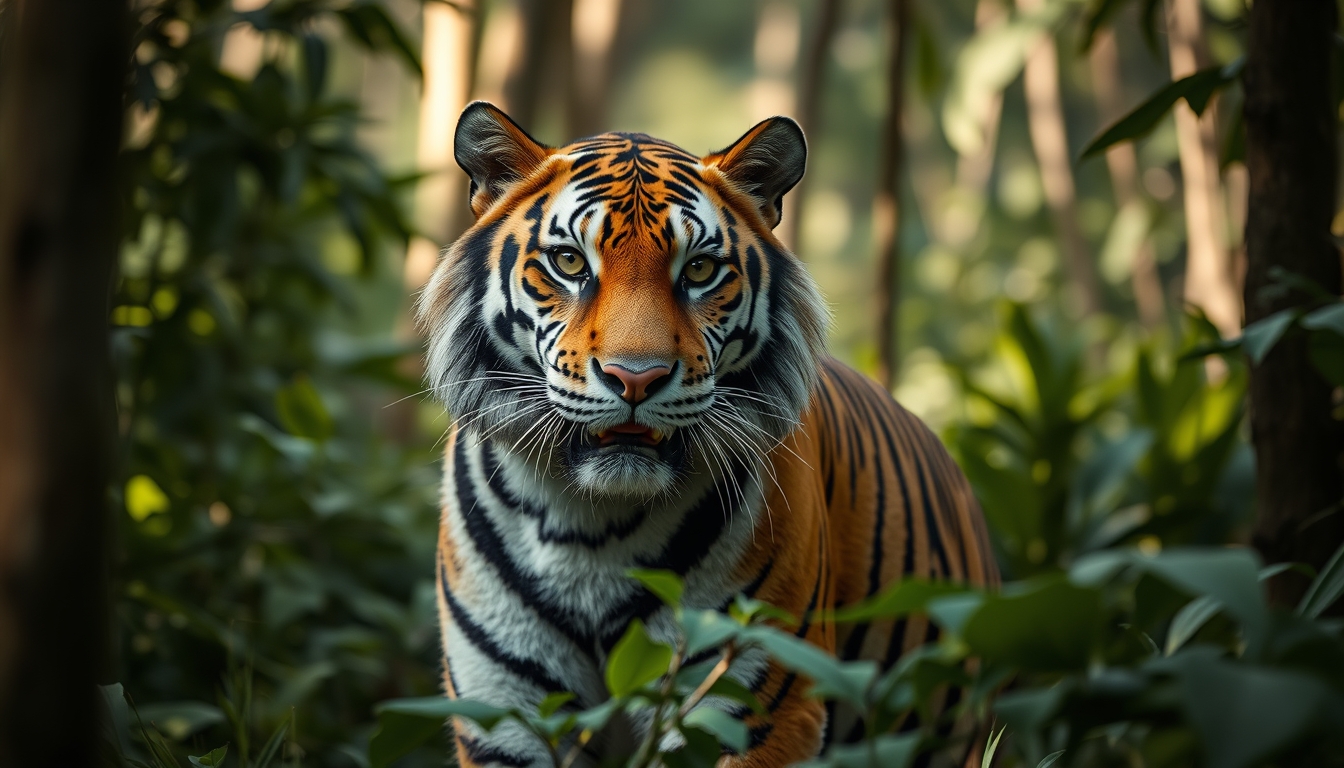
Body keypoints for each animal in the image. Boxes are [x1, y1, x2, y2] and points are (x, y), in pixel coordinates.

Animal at [416, 101, 999, 767]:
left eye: (698, 269)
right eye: (569, 263)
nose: (635, 378)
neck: (592, 526)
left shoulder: (754, 708)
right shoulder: (507, 718)